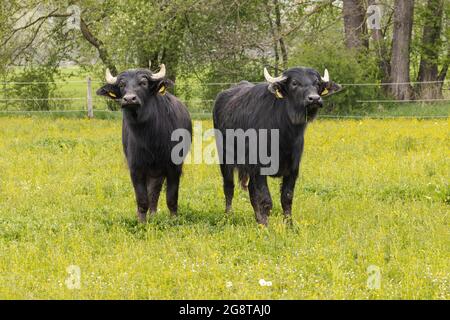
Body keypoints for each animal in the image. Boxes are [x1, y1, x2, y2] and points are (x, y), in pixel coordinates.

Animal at [96, 63, 192, 222]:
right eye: (122, 85)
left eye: (143, 82)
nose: (129, 99)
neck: (150, 139)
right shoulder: (136, 168)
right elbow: (142, 199)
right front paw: (141, 221)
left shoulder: (174, 167)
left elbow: (171, 197)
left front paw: (174, 219)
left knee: (155, 191)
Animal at [214, 65, 342, 225]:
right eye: (294, 83)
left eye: (317, 83)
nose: (314, 98)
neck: (285, 135)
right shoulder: (259, 168)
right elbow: (266, 200)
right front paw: (266, 226)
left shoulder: (293, 170)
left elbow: (286, 198)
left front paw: (289, 225)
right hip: (225, 159)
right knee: (228, 187)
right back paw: (228, 216)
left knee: (251, 191)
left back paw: (257, 219)